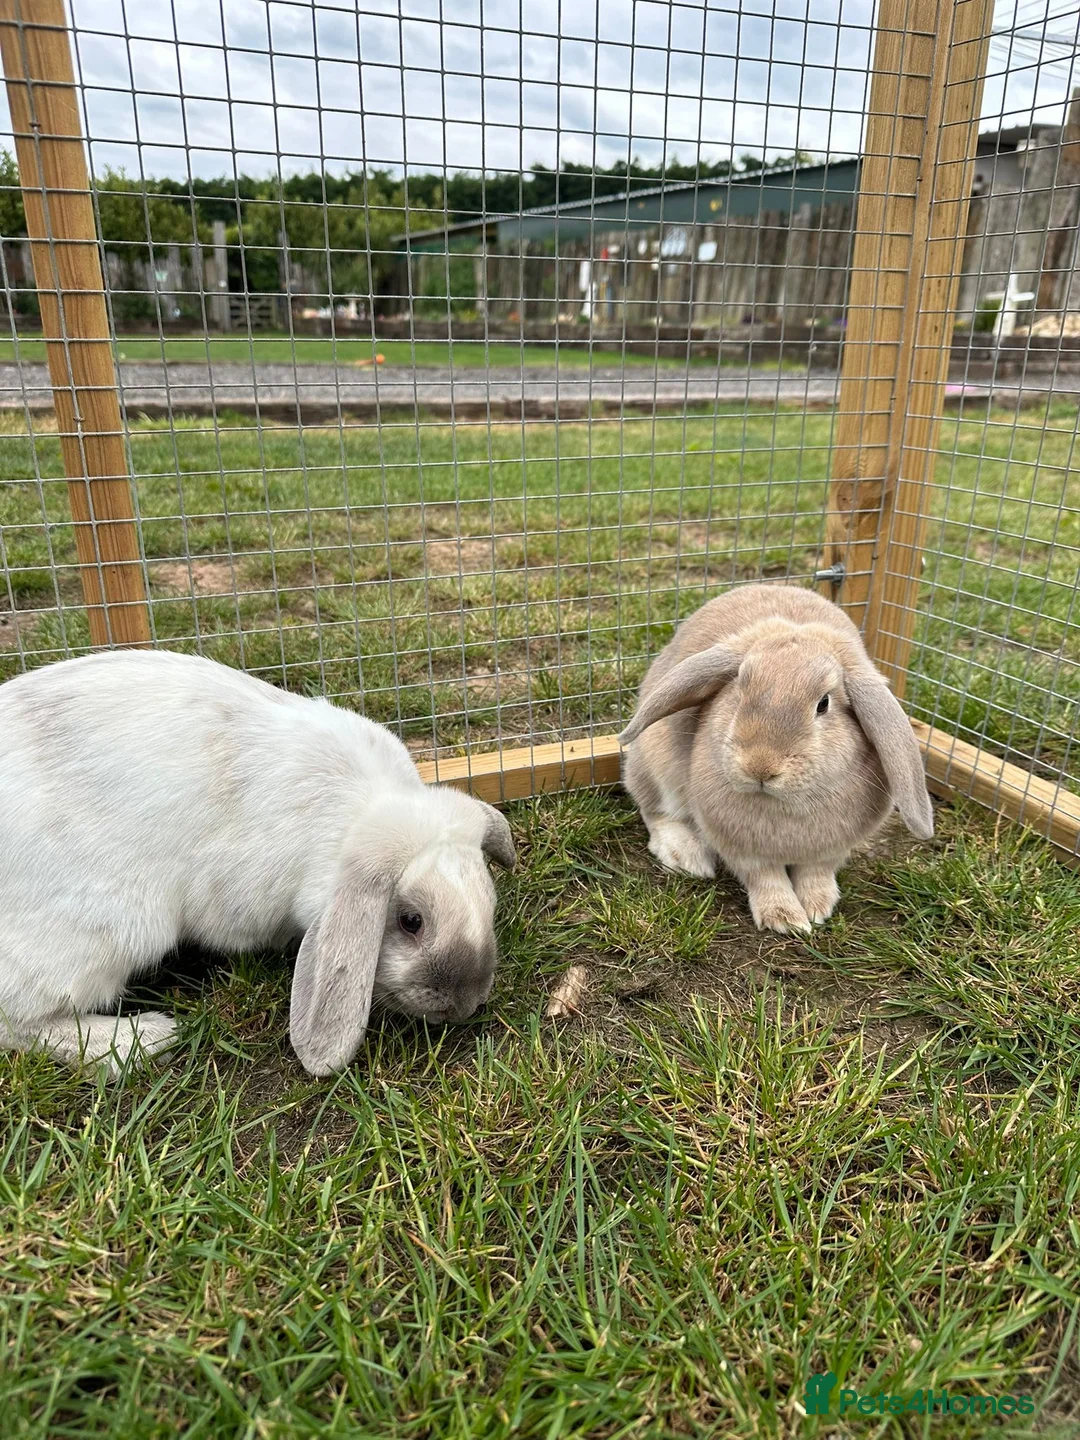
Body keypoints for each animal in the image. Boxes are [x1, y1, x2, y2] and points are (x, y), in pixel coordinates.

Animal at [0, 649, 516, 1079]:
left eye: (490, 904)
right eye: (411, 922)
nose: (465, 1004)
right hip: (107, 931)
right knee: (18, 1020)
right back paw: (142, 1039)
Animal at [619, 583, 933, 935]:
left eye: (823, 704)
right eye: (739, 690)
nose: (760, 767)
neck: (787, 805)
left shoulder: (828, 851)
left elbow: (815, 874)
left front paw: (818, 907)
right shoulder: (742, 849)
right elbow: (764, 878)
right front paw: (785, 918)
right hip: (654, 764)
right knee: (655, 811)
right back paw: (687, 857)